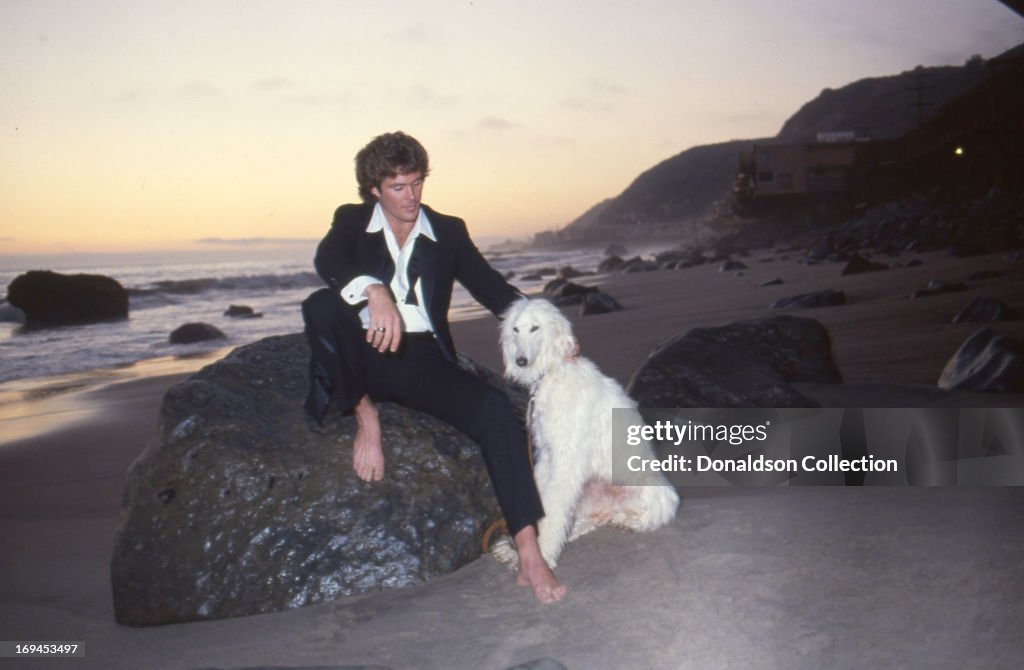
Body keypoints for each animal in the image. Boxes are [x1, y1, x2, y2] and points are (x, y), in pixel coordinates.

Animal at [489, 299, 675, 565]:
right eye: (515, 329)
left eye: (535, 328)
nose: (520, 361)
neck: (553, 372)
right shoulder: (547, 456)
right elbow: (542, 500)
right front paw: (520, 551)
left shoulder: (567, 461)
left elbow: (552, 509)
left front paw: (543, 554)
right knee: (589, 519)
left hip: (654, 492)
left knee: (643, 516)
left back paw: (626, 521)